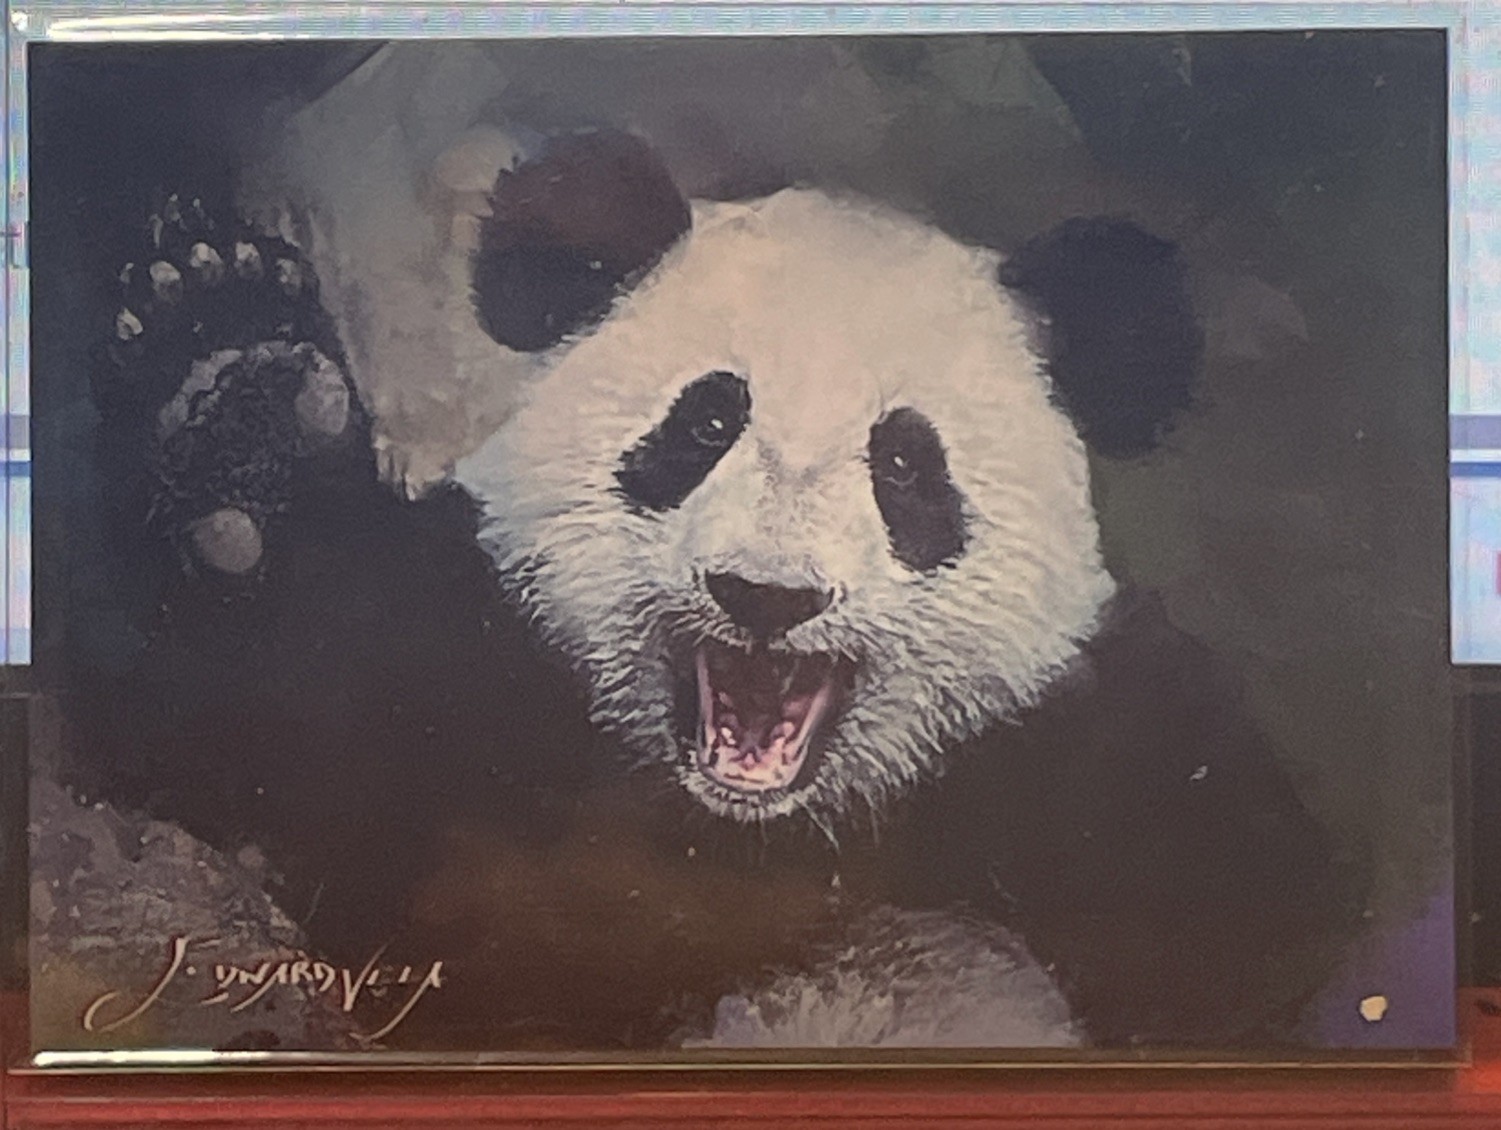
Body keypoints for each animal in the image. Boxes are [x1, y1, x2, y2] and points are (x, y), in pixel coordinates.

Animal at [74, 128, 1355, 1054]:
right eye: (703, 423)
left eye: (904, 463)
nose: (766, 595)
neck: (744, 826)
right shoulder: (478, 676)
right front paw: (231, 368)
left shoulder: (1091, 747)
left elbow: (1234, 924)